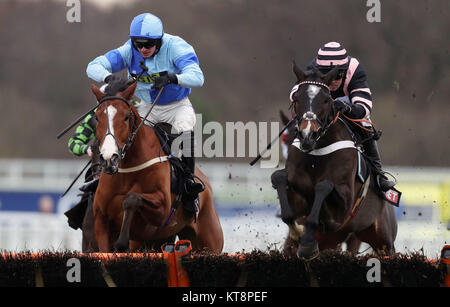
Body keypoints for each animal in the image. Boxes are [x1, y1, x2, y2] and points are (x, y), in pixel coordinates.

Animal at [89, 83, 223, 254]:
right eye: (97, 118)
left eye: (126, 117)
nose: (109, 158)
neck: (127, 171)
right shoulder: (101, 223)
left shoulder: (162, 209)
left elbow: (132, 198)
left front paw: (122, 241)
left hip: (209, 243)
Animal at [274, 63, 398, 262]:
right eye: (297, 98)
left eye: (326, 100)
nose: (308, 135)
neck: (316, 155)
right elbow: (279, 179)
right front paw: (300, 233)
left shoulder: (343, 209)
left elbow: (323, 186)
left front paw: (307, 240)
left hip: (383, 241)